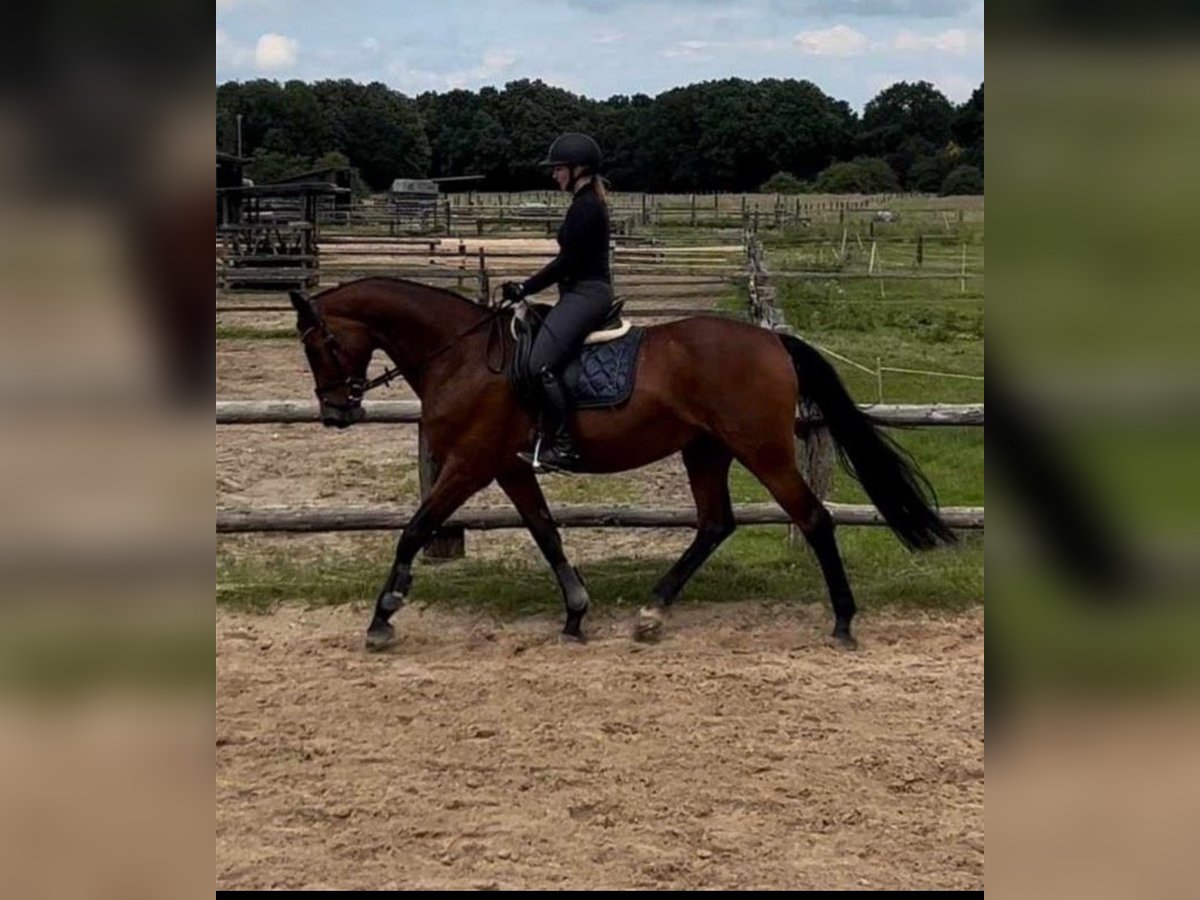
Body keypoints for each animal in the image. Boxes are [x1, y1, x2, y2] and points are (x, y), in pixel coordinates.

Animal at [289, 276, 955, 651]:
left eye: (319, 344)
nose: (335, 413)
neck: (466, 357)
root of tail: (770, 340)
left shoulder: (471, 464)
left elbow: (415, 529)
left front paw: (384, 616)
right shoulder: (510, 467)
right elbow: (546, 533)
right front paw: (575, 615)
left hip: (761, 448)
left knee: (814, 519)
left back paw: (842, 622)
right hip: (704, 449)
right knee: (715, 524)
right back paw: (652, 614)